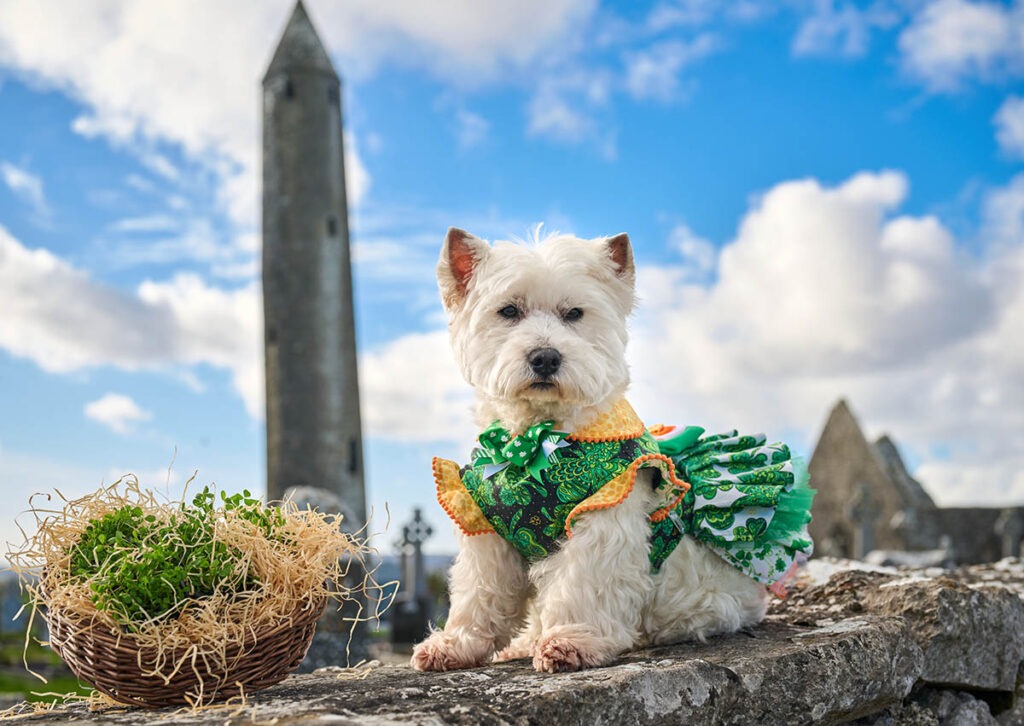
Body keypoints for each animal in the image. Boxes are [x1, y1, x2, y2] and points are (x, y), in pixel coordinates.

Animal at [411, 228, 811, 675]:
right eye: (509, 310)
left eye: (574, 313)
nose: (545, 357)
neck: (534, 442)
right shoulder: (485, 524)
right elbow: (479, 593)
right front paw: (455, 645)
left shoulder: (606, 515)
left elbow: (584, 582)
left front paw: (571, 641)